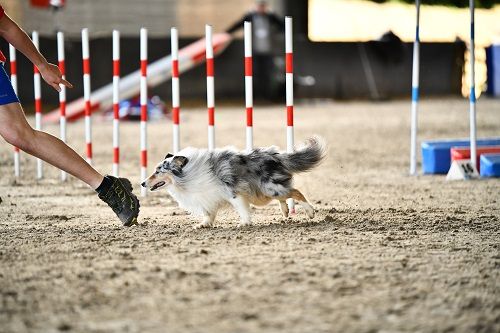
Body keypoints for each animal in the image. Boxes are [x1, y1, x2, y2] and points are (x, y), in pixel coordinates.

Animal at [142, 136, 328, 228]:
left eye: (158, 171)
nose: (142, 183)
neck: (188, 173)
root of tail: (276, 155)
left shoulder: (233, 192)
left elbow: (241, 208)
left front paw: (245, 223)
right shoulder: (208, 197)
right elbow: (209, 212)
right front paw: (204, 224)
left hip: (268, 188)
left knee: (296, 191)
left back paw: (310, 212)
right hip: (265, 192)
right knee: (286, 194)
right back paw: (285, 211)